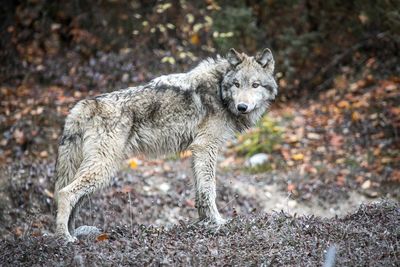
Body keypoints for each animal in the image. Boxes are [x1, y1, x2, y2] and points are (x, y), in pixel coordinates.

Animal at [54, 48, 276, 243]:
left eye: (255, 85)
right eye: (237, 84)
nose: (242, 107)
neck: (220, 89)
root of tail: (86, 104)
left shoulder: (196, 151)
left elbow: (199, 192)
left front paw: (204, 222)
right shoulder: (206, 147)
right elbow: (209, 189)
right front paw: (218, 222)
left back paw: (72, 233)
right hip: (103, 169)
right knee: (65, 193)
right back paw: (64, 238)